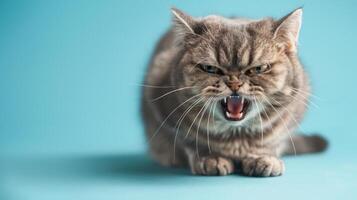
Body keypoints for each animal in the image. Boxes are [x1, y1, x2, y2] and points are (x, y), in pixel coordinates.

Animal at [140, 7, 326, 177]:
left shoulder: (289, 118)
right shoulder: (167, 113)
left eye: (258, 68)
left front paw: (262, 156)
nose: (234, 82)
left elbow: (271, 140)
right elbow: (192, 141)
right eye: (210, 68)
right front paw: (211, 157)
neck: (236, 136)